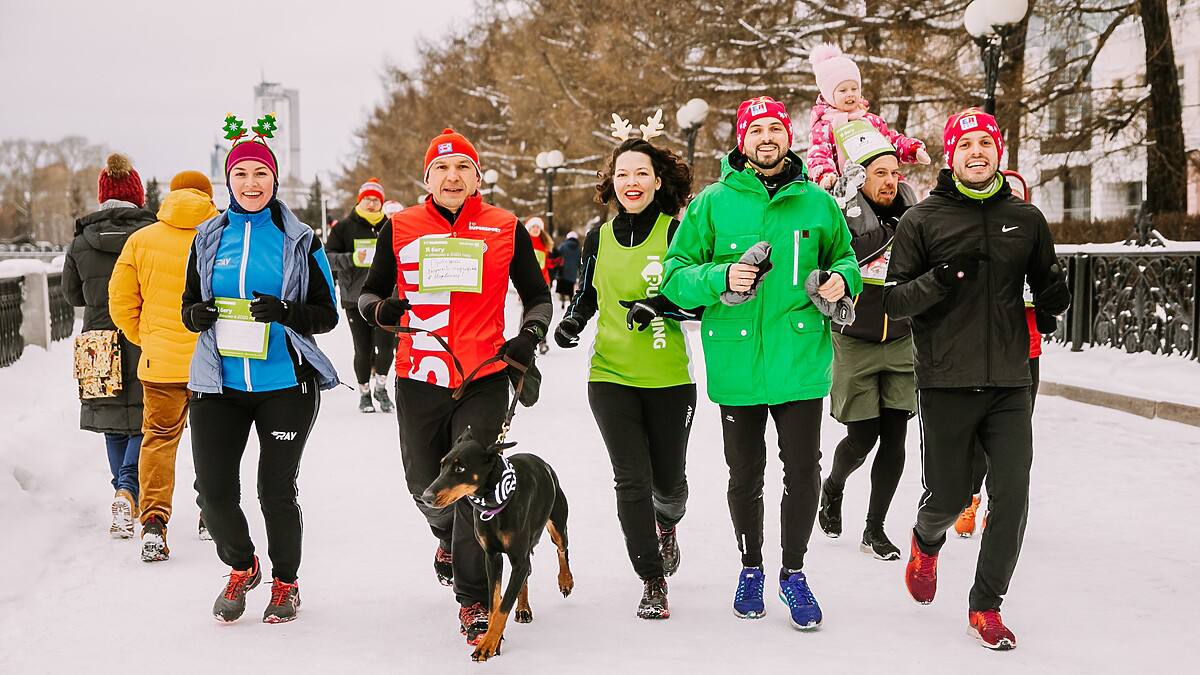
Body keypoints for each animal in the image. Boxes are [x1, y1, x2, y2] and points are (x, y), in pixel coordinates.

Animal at [420, 426, 574, 662]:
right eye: (442, 464)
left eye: (460, 467)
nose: (426, 497)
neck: (495, 504)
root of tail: (544, 464)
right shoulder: (492, 556)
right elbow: (494, 603)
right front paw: (491, 639)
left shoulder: (518, 557)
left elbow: (503, 606)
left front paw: (487, 645)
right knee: (527, 572)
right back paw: (523, 609)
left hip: (556, 520)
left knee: (561, 548)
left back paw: (565, 581)